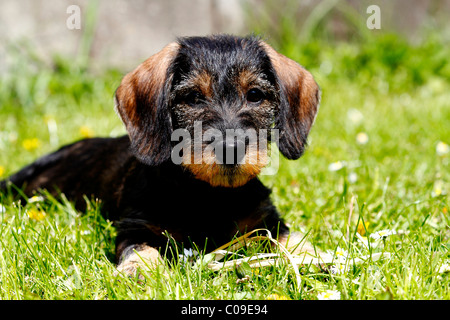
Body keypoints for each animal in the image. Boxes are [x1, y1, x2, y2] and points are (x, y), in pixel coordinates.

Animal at [1, 34, 322, 276]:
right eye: (192, 97)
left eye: (255, 95)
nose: (230, 149)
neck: (210, 195)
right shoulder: (136, 226)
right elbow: (141, 249)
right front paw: (138, 271)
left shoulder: (266, 221)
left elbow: (290, 237)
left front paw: (313, 257)